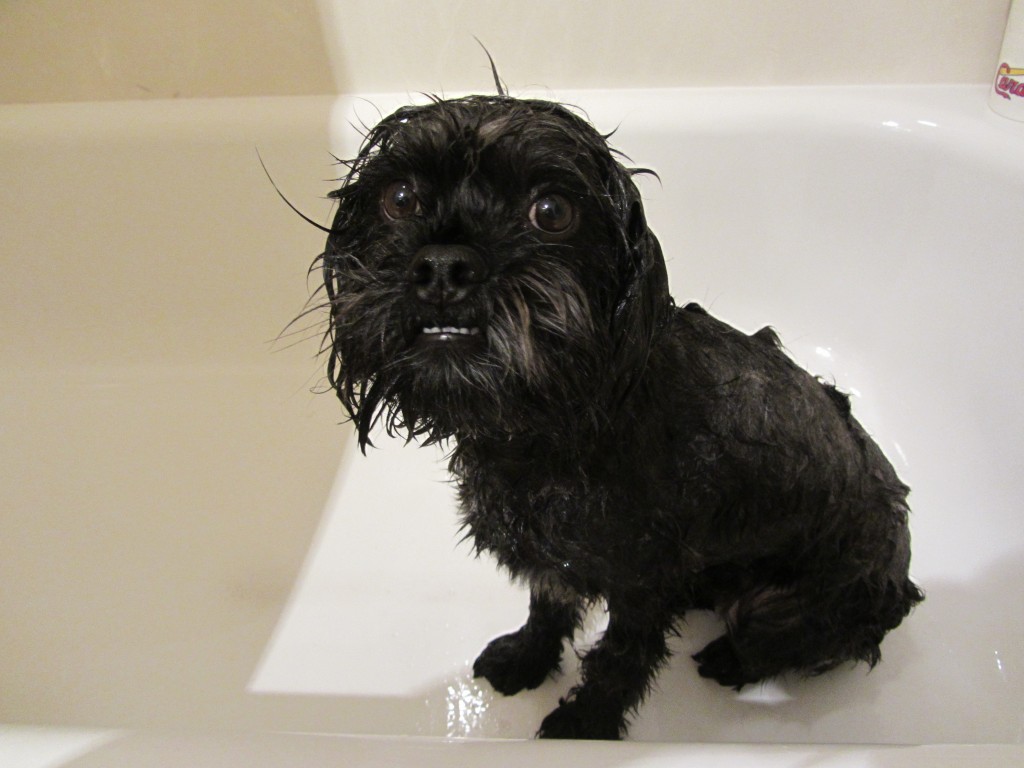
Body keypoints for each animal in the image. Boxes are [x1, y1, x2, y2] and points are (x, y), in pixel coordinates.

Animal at [315, 93, 925, 741]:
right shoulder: (551, 552)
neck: (554, 429)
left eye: (552, 211)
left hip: (786, 607)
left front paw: (585, 723)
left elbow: (621, 658)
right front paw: (527, 658)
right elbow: (548, 605)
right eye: (400, 197)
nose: (443, 266)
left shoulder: (643, 582)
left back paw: (730, 660)